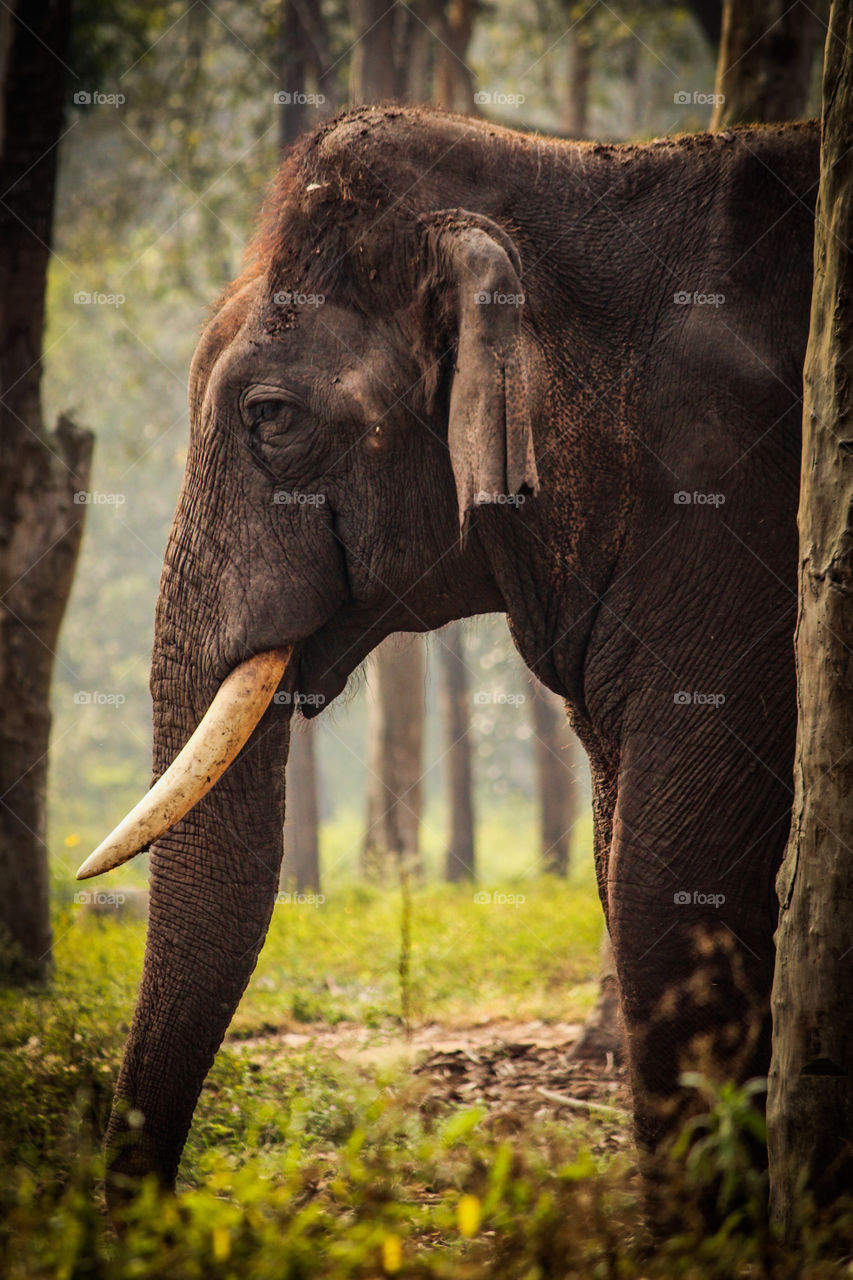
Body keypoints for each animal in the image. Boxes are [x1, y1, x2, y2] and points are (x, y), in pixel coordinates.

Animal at [78, 105, 819, 1206]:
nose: (143, 1218)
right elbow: (618, 861)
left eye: (270, 417)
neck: (568, 169)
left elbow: (668, 884)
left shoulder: (733, 510)